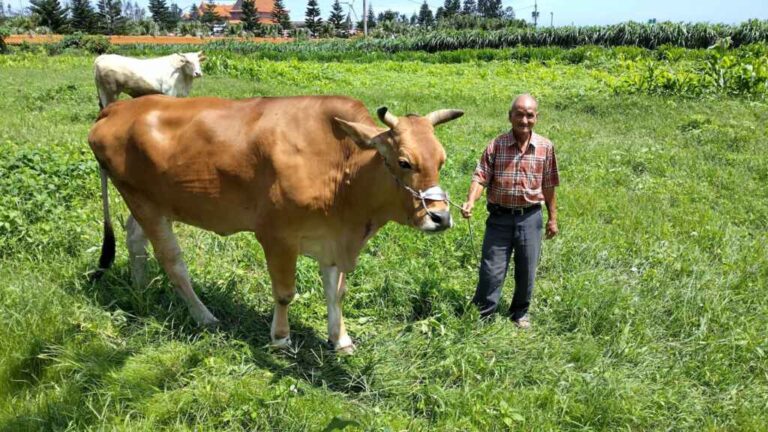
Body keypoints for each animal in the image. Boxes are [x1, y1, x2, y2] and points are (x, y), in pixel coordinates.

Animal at [90, 95, 462, 354]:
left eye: (441, 160)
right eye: (404, 161)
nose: (440, 217)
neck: (339, 169)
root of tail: (119, 107)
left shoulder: (331, 239)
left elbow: (335, 292)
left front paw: (339, 338)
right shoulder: (277, 237)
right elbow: (284, 293)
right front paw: (281, 338)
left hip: (151, 203)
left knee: (134, 238)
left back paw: (140, 286)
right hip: (143, 202)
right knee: (172, 262)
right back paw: (204, 316)